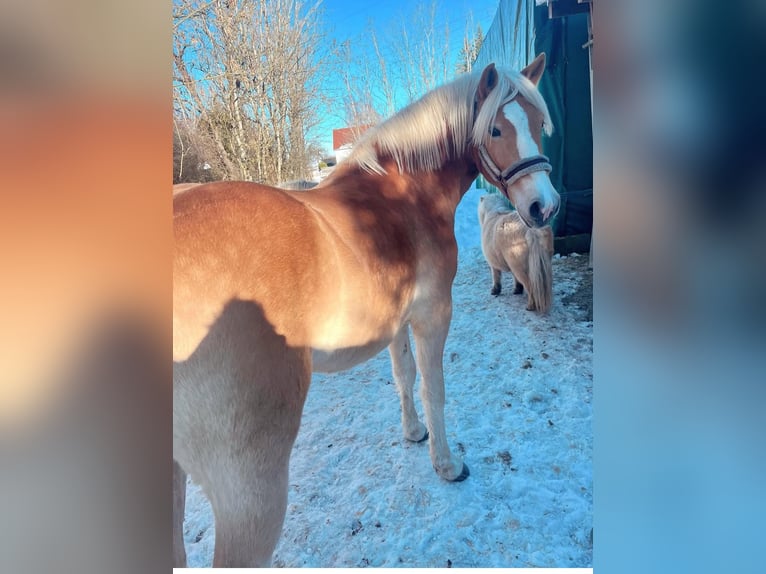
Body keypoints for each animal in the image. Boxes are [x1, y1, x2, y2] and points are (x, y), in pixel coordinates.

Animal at [172, 55, 560, 572]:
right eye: (495, 129)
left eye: (538, 124)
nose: (544, 206)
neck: (402, 196)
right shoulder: (433, 315)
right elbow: (433, 388)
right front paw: (446, 465)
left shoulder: (395, 321)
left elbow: (403, 376)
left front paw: (413, 433)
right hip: (249, 492)